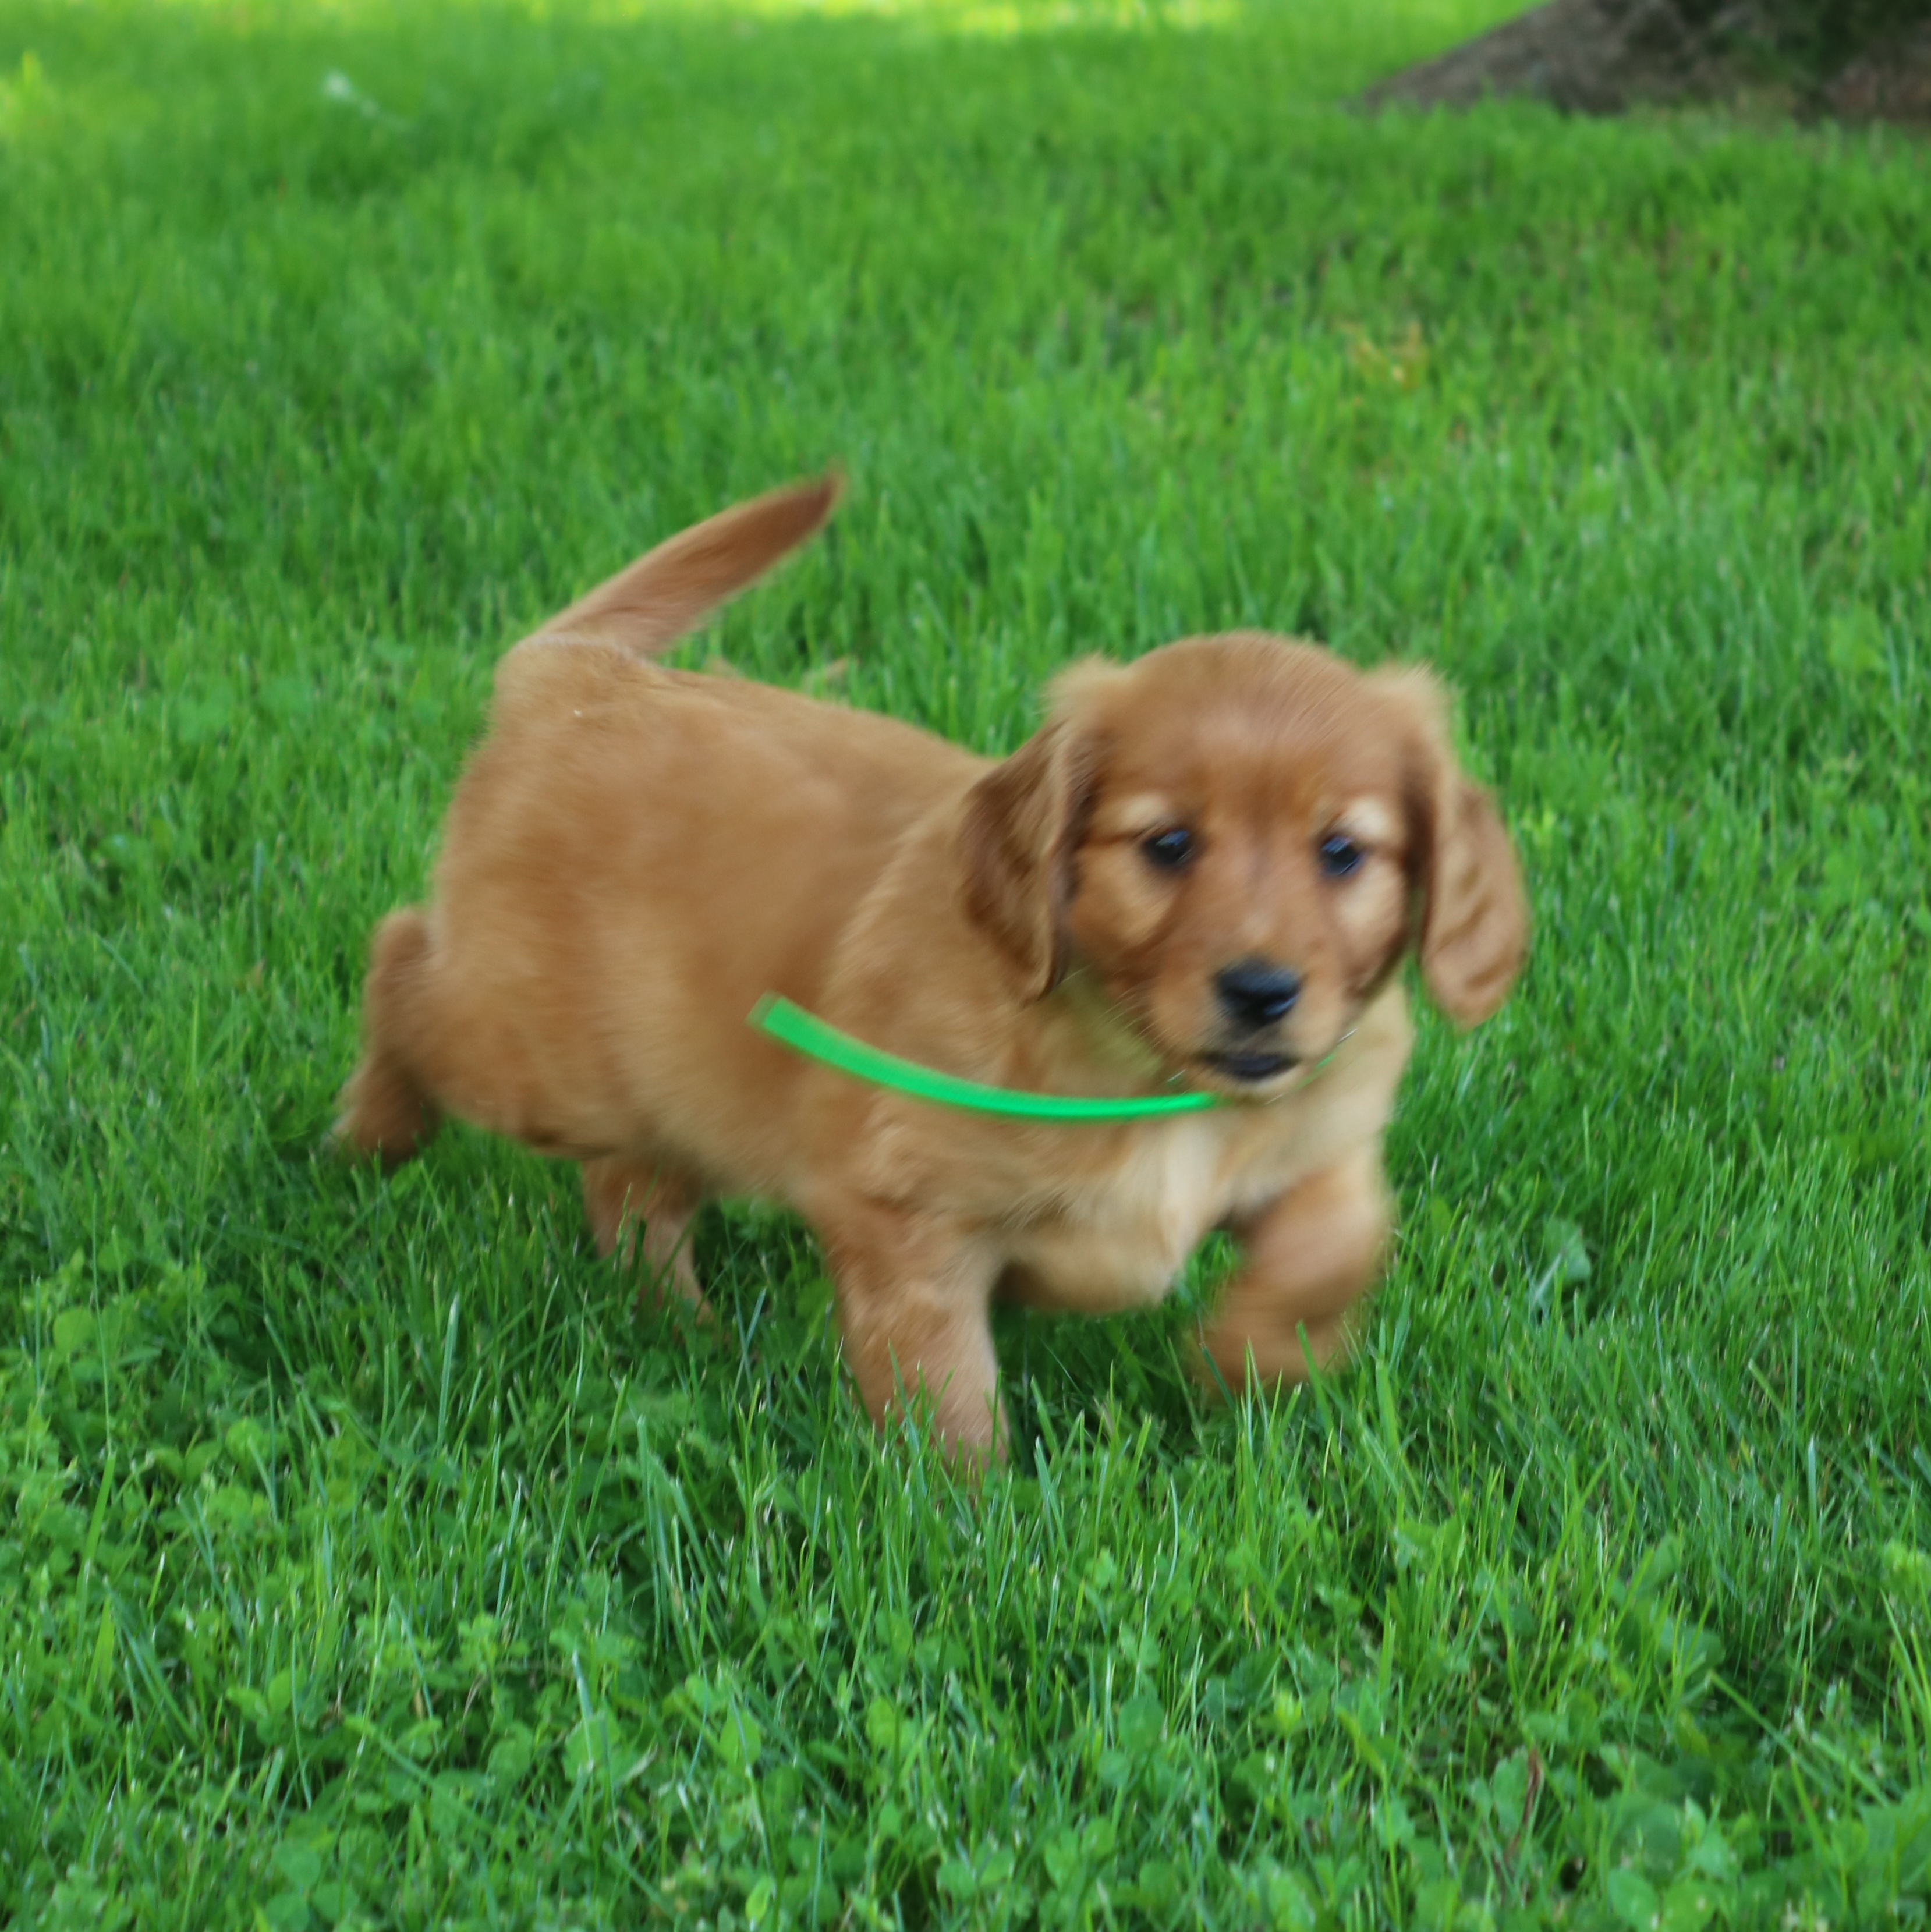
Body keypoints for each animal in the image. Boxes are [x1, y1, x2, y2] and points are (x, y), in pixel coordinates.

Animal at [340, 475, 1530, 1452]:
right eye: (1167, 844)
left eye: (1343, 851)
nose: (1262, 991)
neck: (1145, 1074)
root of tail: (576, 676)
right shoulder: (904, 1211)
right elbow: (943, 1383)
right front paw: (970, 1518)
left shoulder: (1323, 1124)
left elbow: (1336, 1240)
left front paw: (1252, 1362)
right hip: (531, 1048)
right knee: (400, 964)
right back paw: (368, 1140)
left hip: (670, 1074)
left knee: (631, 1181)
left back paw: (681, 1321)